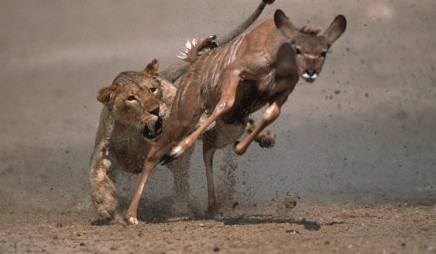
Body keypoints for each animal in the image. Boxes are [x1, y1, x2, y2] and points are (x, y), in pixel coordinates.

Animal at [125, 8, 348, 224]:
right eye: (298, 49)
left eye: (324, 52)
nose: (310, 72)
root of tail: (196, 60)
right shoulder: (234, 73)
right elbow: (225, 102)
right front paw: (177, 150)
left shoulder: (282, 93)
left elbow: (270, 114)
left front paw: (242, 147)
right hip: (184, 116)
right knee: (155, 150)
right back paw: (132, 215)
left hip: (231, 126)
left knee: (208, 150)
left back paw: (214, 210)